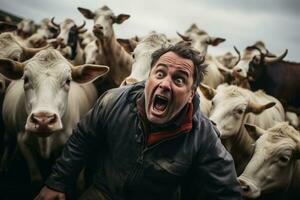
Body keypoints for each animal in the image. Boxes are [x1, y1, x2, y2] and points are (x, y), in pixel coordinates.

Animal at [0, 47, 109, 180]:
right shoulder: (23, 142)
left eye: (68, 81)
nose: (43, 120)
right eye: (25, 79)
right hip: (9, 130)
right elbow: (35, 174)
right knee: (7, 142)